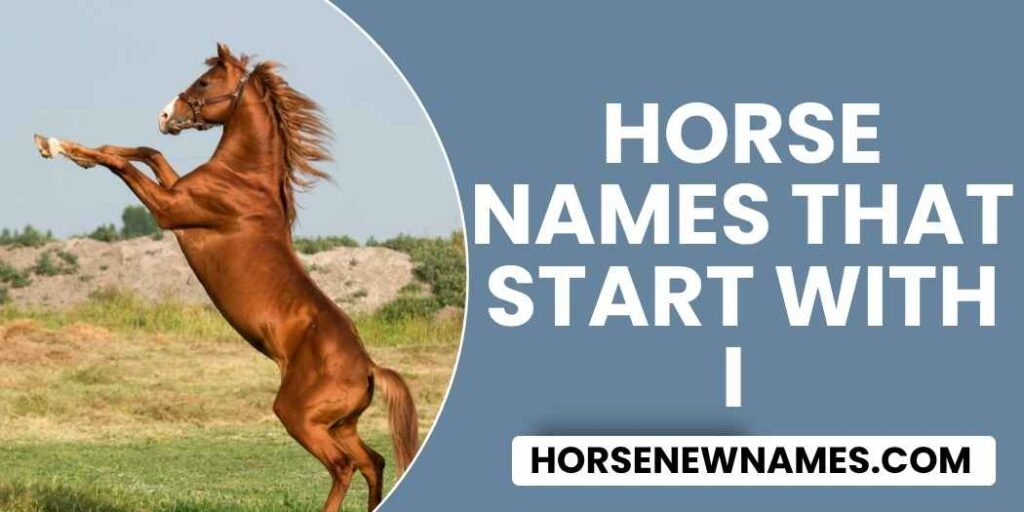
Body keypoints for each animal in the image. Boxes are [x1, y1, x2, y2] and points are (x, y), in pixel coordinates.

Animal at [32, 43, 418, 512]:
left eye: (204, 82)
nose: (165, 116)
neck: (243, 180)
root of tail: (369, 369)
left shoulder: (168, 209)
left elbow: (122, 163)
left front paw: (53, 146)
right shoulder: (173, 191)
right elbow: (145, 152)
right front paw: (62, 148)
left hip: (300, 419)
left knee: (344, 467)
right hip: (341, 425)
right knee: (374, 463)